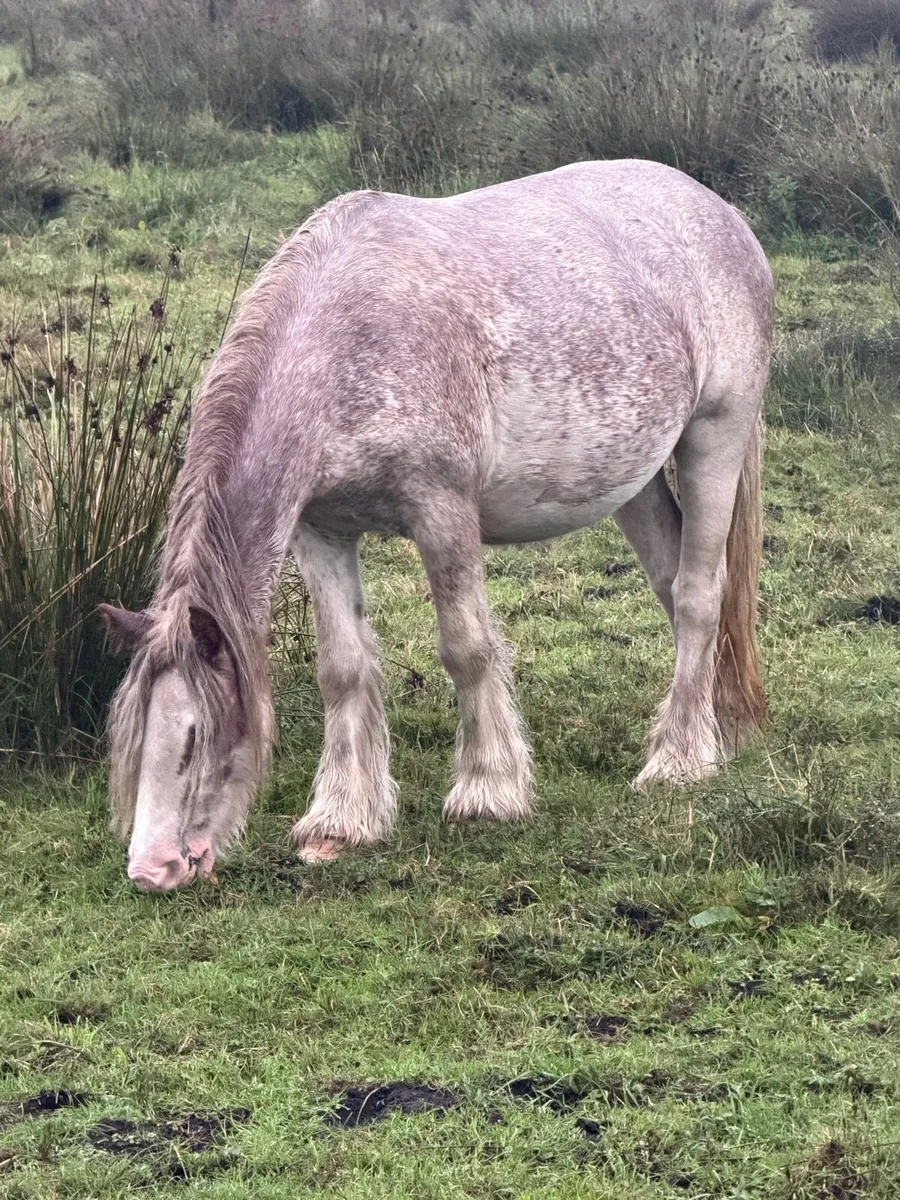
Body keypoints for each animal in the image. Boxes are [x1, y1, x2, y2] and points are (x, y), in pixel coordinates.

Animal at [100, 159, 773, 892]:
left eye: (193, 737)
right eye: (132, 738)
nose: (152, 868)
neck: (345, 342)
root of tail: (722, 213)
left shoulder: (442, 508)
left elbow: (466, 647)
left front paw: (488, 792)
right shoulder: (320, 530)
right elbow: (343, 668)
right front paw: (342, 820)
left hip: (715, 437)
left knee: (698, 594)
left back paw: (676, 762)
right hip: (635, 478)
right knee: (673, 587)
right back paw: (708, 734)